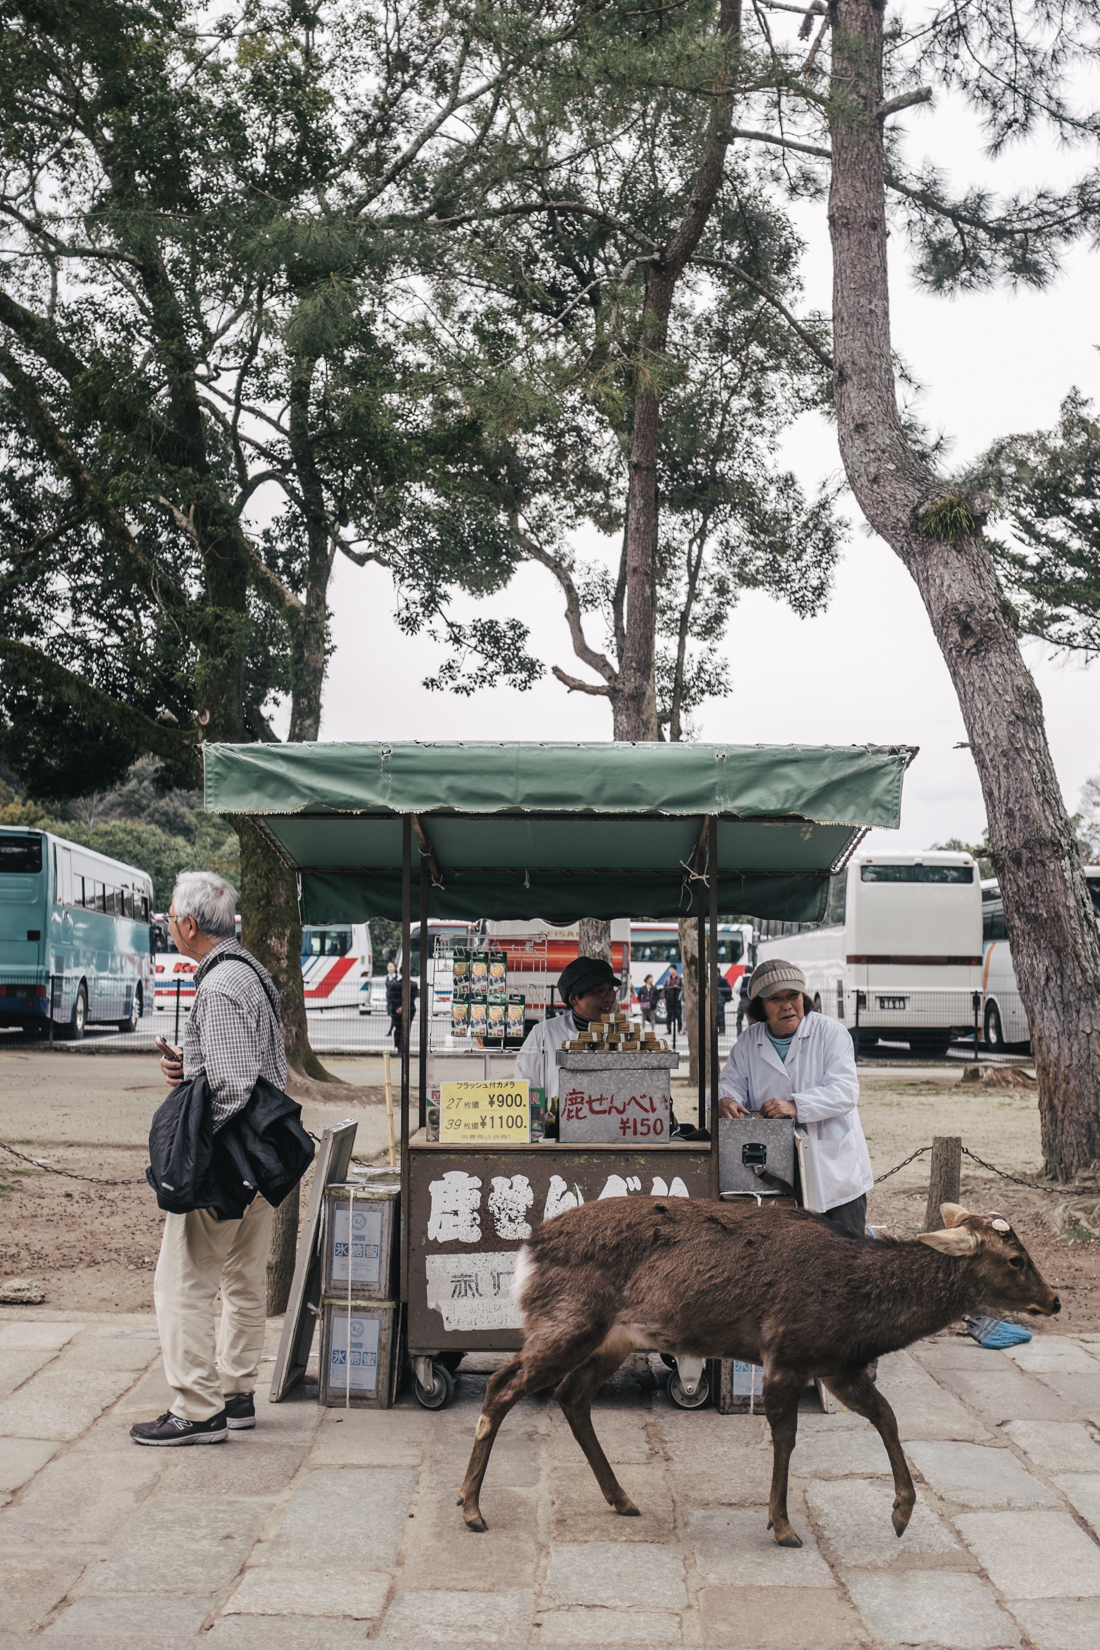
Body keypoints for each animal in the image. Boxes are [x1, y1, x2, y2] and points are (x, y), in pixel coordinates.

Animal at [458, 1194, 1055, 1537]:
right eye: (1015, 1259)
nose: (1054, 1301)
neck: (863, 1317)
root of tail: (527, 1251)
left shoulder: (836, 1364)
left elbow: (886, 1416)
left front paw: (902, 1514)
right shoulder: (788, 1351)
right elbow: (785, 1438)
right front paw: (783, 1525)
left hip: (612, 1339)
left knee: (571, 1396)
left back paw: (622, 1499)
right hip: (568, 1321)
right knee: (501, 1385)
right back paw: (470, 1509)